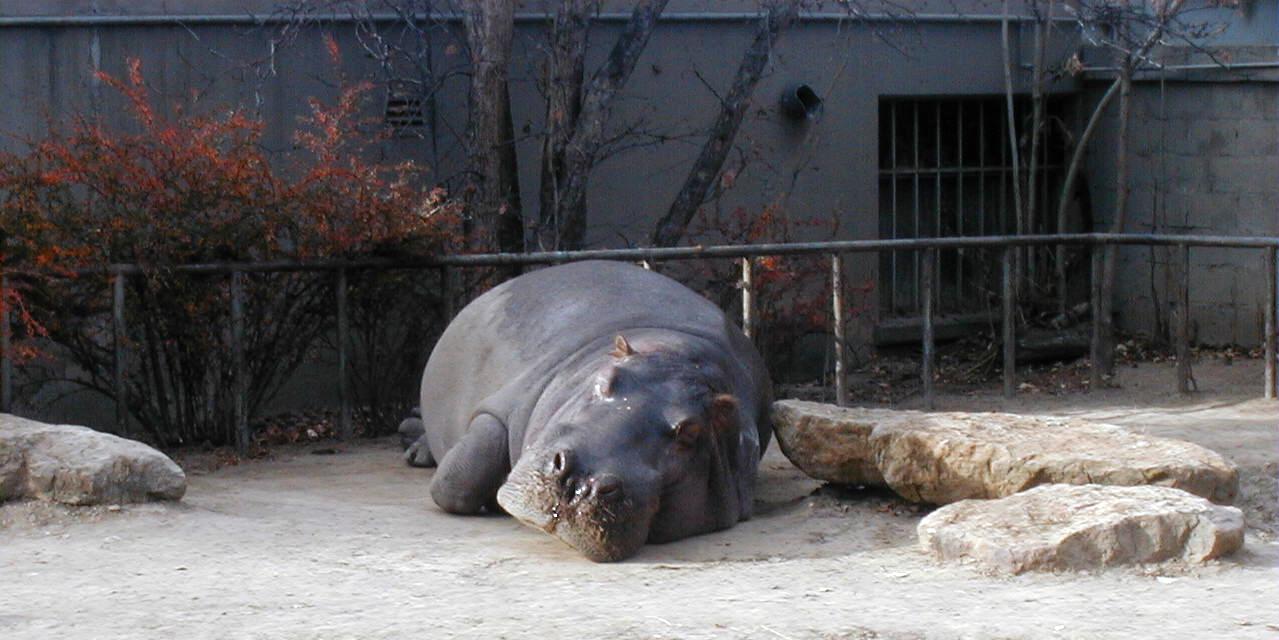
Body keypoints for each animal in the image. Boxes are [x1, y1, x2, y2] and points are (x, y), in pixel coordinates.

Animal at [402, 260, 772, 561]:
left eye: (689, 434)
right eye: (607, 378)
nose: (579, 480)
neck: (683, 361)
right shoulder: (507, 404)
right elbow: (456, 482)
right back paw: (415, 447)